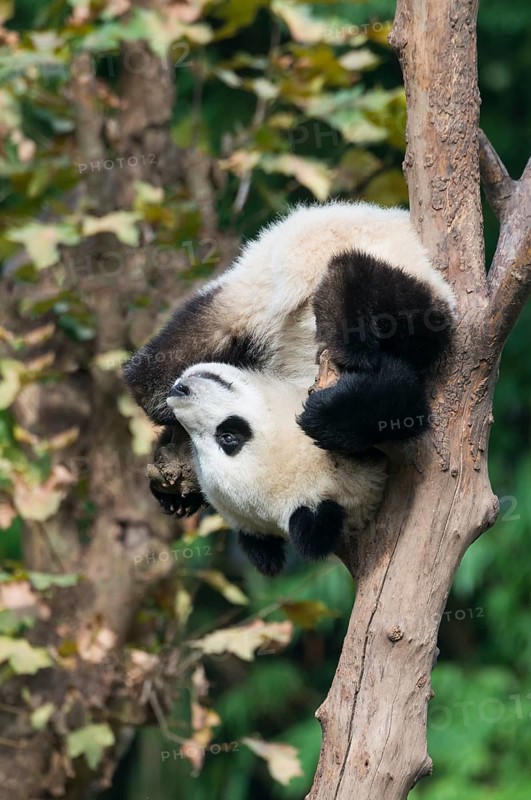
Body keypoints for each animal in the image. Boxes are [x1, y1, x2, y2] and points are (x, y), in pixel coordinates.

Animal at [124, 201, 456, 573]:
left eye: (229, 437)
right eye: (199, 450)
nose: (182, 392)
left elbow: (399, 398)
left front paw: (325, 417)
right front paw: (174, 489)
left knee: (384, 296)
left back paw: (343, 311)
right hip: (240, 303)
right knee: (161, 370)